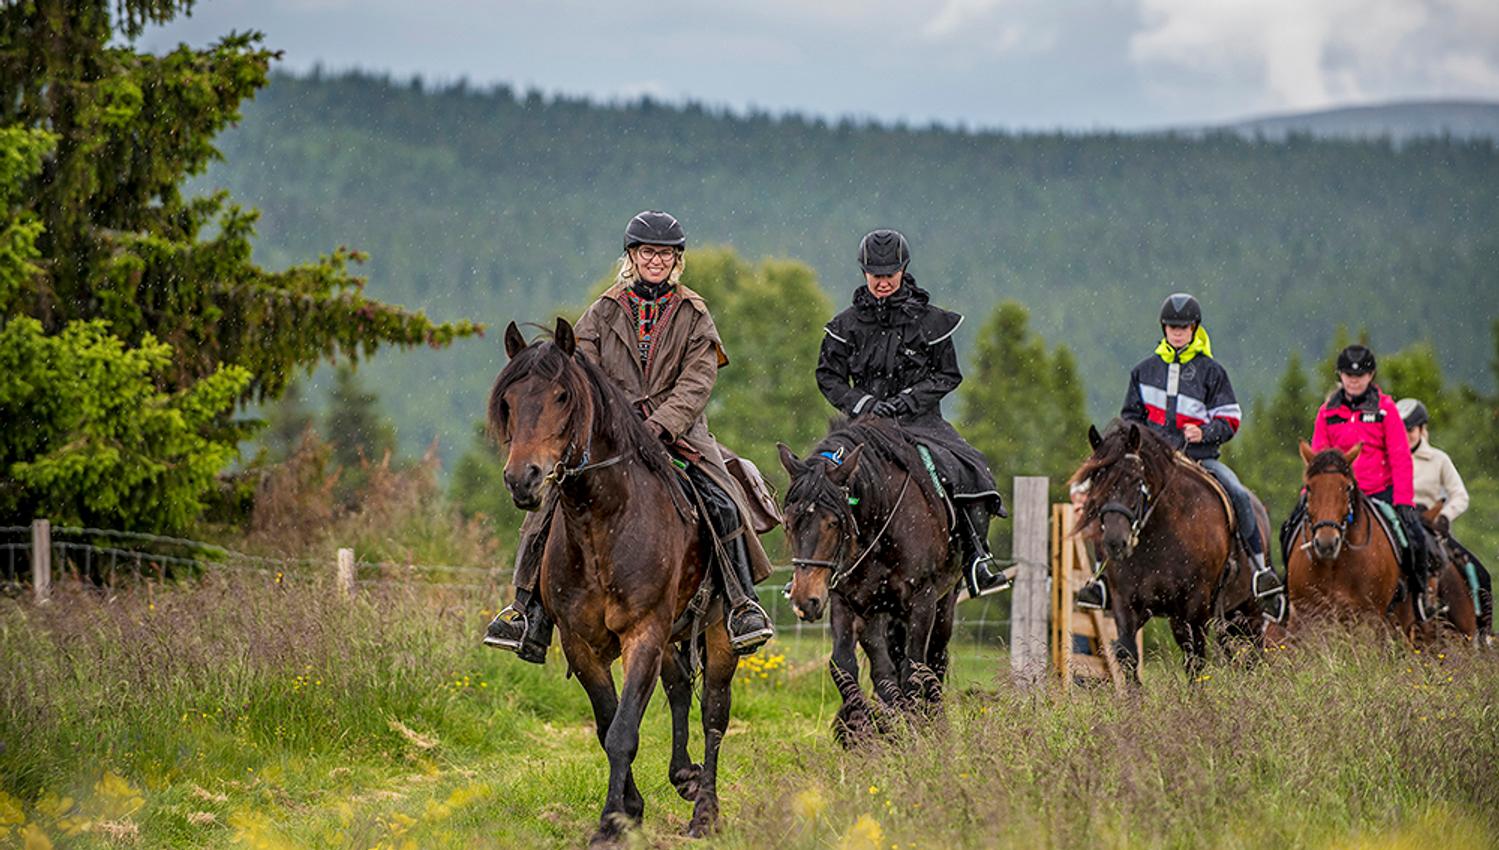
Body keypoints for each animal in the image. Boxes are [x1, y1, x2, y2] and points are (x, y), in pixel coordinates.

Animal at [490, 318, 736, 846]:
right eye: (509, 402)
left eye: (562, 395)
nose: (523, 479)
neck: (601, 522)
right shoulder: (580, 642)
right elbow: (607, 726)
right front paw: (630, 812)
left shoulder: (643, 633)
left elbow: (624, 730)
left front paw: (610, 822)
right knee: (679, 686)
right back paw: (684, 777)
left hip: (718, 631)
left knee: (714, 711)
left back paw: (704, 813)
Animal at [777, 417, 959, 744]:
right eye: (788, 522)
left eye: (834, 522)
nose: (804, 601)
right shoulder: (848, 602)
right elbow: (844, 666)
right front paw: (863, 730)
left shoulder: (922, 600)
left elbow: (915, 667)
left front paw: (914, 731)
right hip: (881, 612)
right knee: (885, 666)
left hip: (944, 603)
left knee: (935, 660)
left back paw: (934, 724)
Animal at [1070, 422, 1270, 684]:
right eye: (1097, 480)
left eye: (1136, 480)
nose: (1115, 541)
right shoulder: (1127, 603)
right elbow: (1127, 654)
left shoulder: (1195, 606)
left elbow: (1195, 659)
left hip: (1247, 610)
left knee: (1255, 651)